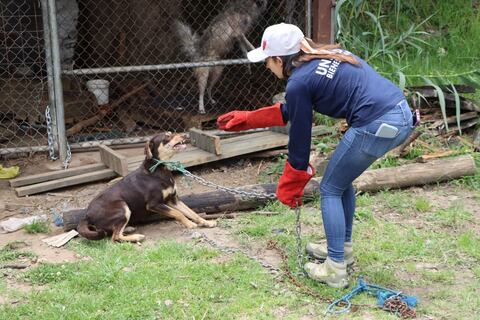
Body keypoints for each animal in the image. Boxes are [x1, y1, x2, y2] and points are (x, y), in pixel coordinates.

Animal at [78, 133, 217, 242]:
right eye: (167, 136)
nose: (185, 135)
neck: (160, 169)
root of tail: (87, 215)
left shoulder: (173, 200)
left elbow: (192, 212)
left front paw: (206, 222)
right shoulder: (154, 204)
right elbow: (178, 213)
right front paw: (189, 224)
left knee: (115, 231)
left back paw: (129, 228)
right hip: (123, 207)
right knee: (115, 237)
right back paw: (136, 237)